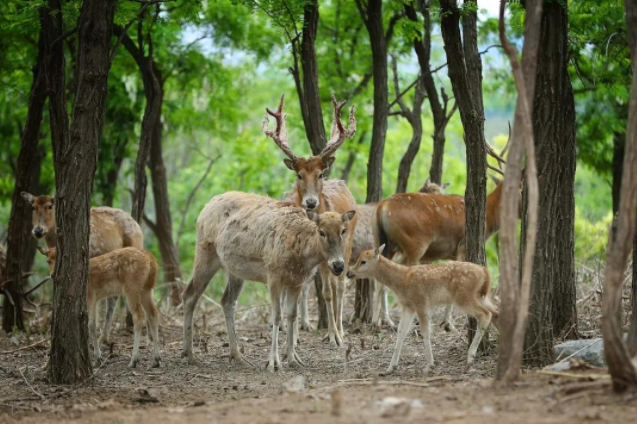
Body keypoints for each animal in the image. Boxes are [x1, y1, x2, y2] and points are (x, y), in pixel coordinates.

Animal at [22, 192, 143, 344]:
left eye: (50, 206)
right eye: (33, 207)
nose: (38, 230)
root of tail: (139, 227)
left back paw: (104, 336)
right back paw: (105, 336)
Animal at [181, 190, 356, 370]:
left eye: (343, 230)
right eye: (321, 232)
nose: (338, 265)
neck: (301, 254)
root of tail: (205, 208)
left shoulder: (297, 282)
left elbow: (292, 315)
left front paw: (293, 359)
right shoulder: (273, 277)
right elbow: (277, 316)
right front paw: (273, 362)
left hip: (236, 271)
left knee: (227, 301)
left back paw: (237, 355)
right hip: (205, 253)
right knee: (190, 295)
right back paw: (190, 354)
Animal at [260, 93, 358, 344]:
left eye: (321, 173)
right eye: (299, 174)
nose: (311, 202)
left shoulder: (329, 256)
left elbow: (328, 292)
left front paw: (334, 336)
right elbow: (300, 290)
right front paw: (292, 334)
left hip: (346, 246)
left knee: (339, 286)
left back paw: (340, 329)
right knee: (314, 287)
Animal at [346, 245, 500, 374]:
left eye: (363, 261)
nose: (349, 273)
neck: (402, 280)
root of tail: (485, 272)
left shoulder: (420, 302)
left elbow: (425, 331)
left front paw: (429, 365)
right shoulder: (408, 306)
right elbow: (401, 332)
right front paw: (390, 368)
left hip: (464, 295)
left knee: (485, 314)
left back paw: (470, 358)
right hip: (480, 296)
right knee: (496, 312)